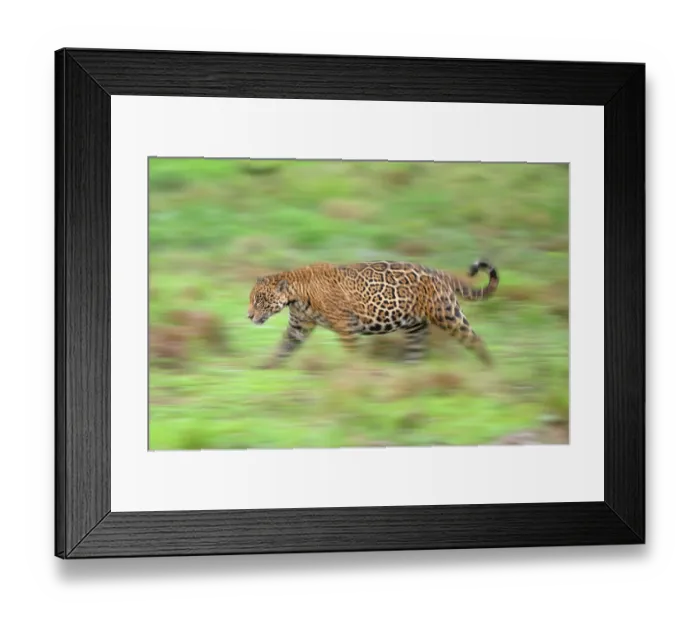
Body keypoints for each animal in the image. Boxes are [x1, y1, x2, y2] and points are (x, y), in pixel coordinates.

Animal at [247, 259, 499, 369]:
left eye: (259, 300)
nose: (248, 316)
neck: (297, 294)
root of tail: (438, 272)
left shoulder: (346, 325)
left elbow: (351, 353)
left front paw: (354, 373)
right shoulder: (298, 328)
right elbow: (282, 348)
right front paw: (264, 368)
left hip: (447, 314)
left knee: (475, 339)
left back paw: (490, 369)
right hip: (415, 325)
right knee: (416, 349)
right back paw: (410, 371)